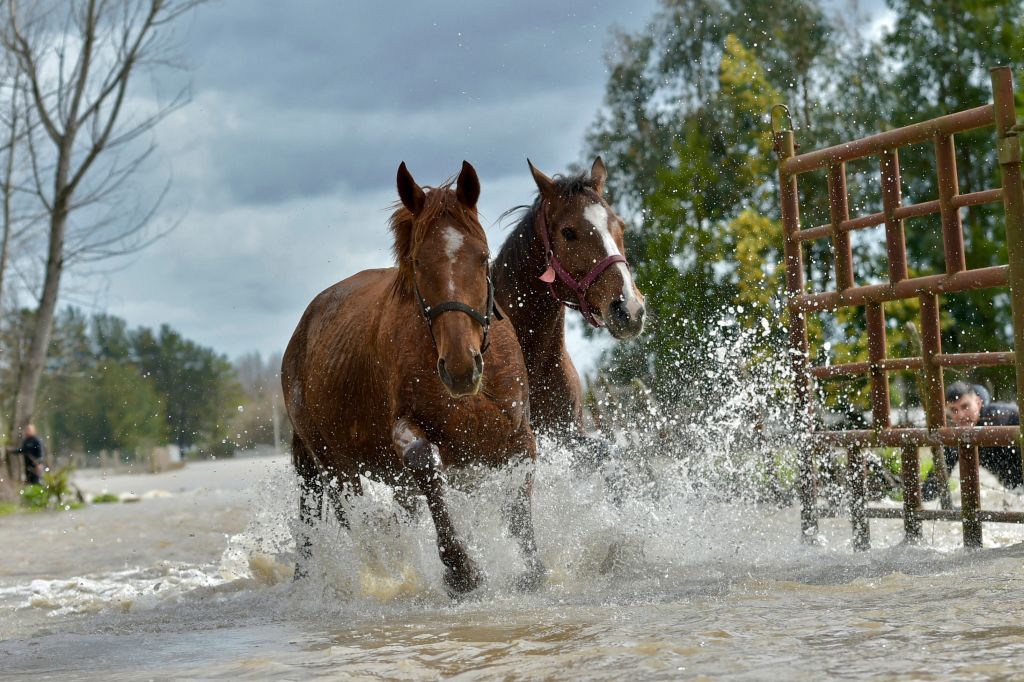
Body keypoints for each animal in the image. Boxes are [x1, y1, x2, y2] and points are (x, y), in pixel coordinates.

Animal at [281, 161, 542, 596]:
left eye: (482, 257)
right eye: (419, 262)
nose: (460, 366)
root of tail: (301, 331)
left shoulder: (518, 432)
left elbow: (519, 495)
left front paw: (529, 567)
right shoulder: (408, 428)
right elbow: (424, 464)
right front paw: (461, 570)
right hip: (333, 464)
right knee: (356, 518)